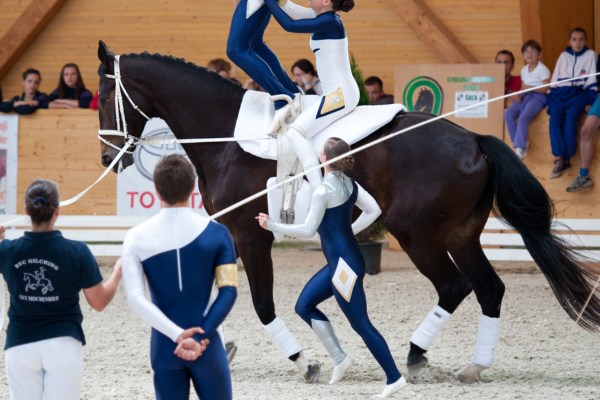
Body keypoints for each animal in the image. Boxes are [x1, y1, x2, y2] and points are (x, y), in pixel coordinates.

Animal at [96, 42, 596, 382]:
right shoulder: (227, 235)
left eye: (103, 97)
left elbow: (261, 304)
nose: (106, 159)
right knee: (490, 289)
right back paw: (475, 366)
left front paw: (304, 361)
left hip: (417, 234)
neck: (226, 137)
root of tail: (474, 139)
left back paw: (415, 355)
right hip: (460, 234)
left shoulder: (251, 236)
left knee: (454, 287)